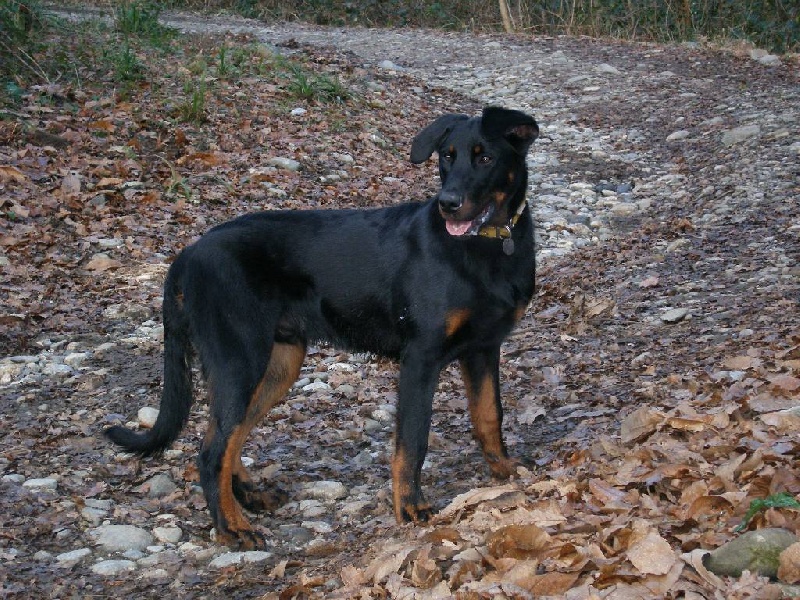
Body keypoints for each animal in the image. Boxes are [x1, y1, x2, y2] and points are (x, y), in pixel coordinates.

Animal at [106, 104, 540, 548]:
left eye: (485, 157)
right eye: (447, 157)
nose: (447, 204)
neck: (488, 243)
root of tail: (188, 254)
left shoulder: (484, 349)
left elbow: (489, 415)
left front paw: (504, 471)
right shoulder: (421, 359)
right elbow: (412, 440)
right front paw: (410, 507)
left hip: (278, 364)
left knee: (225, 437)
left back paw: (249, 496)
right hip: (240, 360)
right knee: (212, 452)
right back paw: (231, 527)